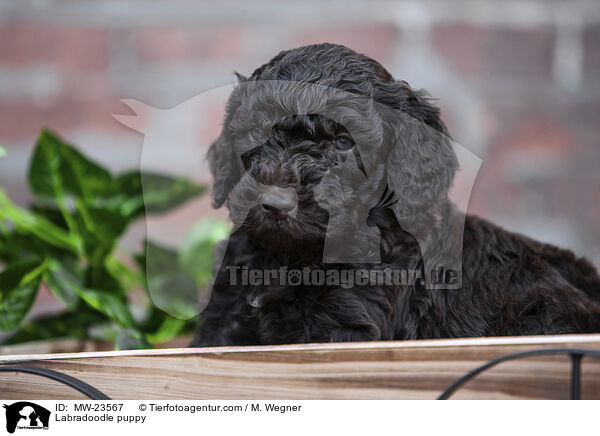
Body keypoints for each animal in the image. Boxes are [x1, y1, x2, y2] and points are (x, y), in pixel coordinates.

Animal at [191, 42, 600, 346]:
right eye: (256, 132)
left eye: (344, 142)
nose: (275, 203)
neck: (289, 257)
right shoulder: (223, 317)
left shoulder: (344, 324)